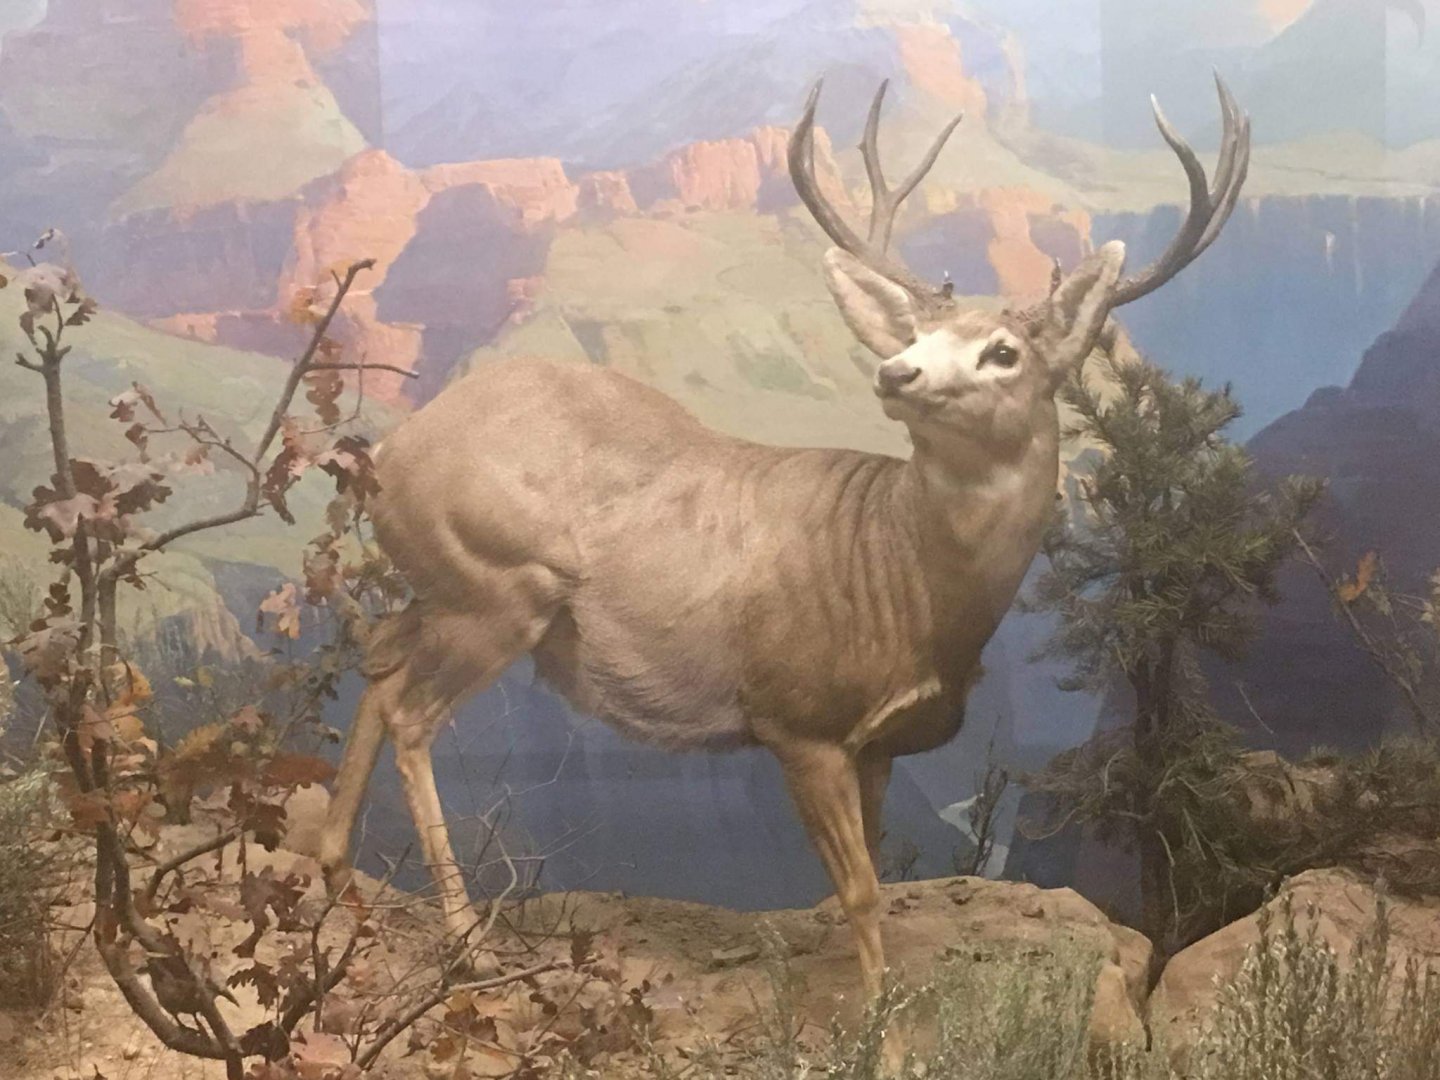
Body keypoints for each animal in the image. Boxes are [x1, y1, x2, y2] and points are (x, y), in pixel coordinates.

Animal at [317, 75, 1250, 1000]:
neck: (908, 580)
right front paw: (877, 1013)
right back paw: (466, 944)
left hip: (447, 587)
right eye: (916, 335)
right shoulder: (799, 717)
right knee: (408, 713)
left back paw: (331, 864)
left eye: (1003, 351)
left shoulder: (879, 744)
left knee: (378, 656)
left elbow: (876, 877)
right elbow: (861, 891)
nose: (897, 369)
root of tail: (387, 457)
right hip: (498, 587)